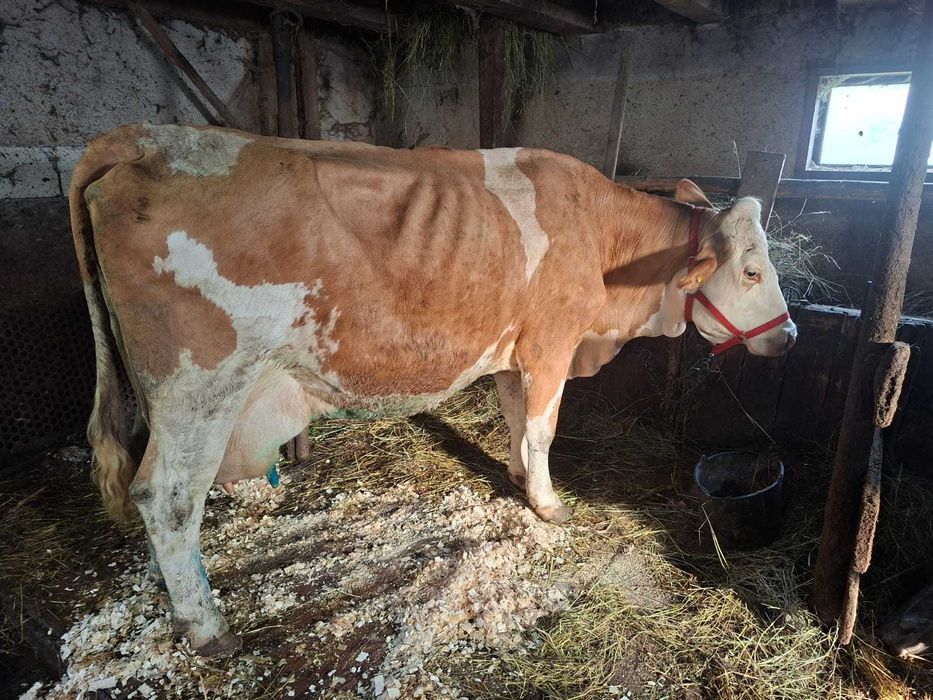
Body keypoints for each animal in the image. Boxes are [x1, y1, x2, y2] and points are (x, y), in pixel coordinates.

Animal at [69, 124, 796, 655]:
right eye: (752, 272)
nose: (789, 338)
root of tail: (146, 137)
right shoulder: (551, 343)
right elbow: (544, 427)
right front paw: (548, 503)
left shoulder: (512, 352)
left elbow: (515, 418)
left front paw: (515, 477)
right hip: (200, 385)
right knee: (165, 497)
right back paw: (206, 626)